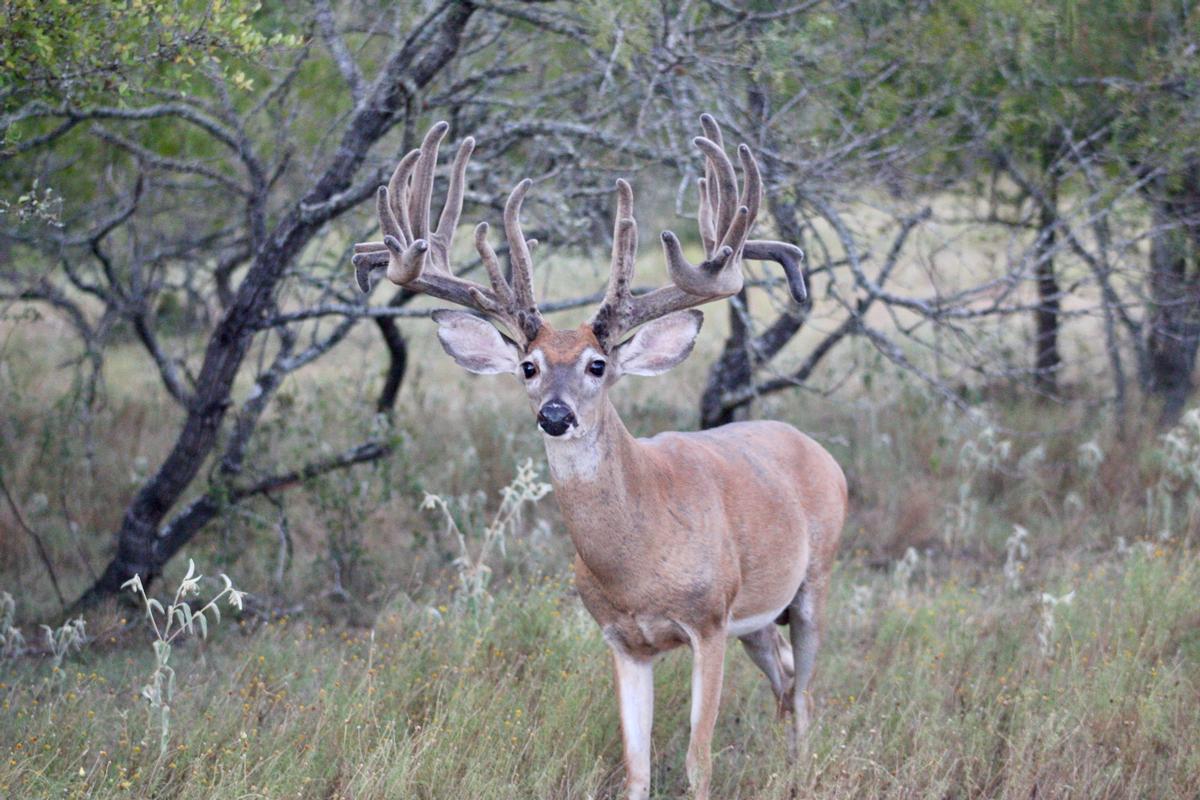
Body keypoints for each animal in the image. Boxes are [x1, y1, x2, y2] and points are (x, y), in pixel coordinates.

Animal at [352, 117, 847, 800]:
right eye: (528, 367)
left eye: (596, 364)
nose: (555, 416)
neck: (638, 555)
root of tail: (819, 451)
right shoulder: (622, 639)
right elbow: (635, 765)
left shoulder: (709, 619)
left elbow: (698, 760)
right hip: (757, 622)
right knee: (788, 679)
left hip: (814, 578)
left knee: (804, 691)